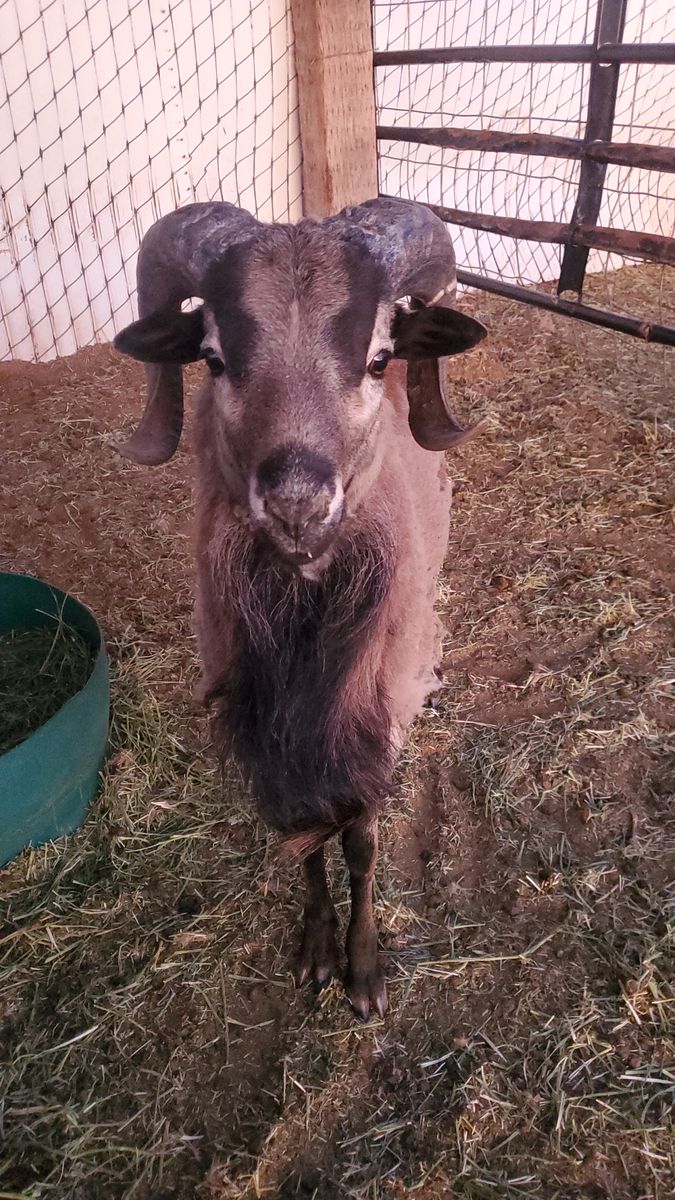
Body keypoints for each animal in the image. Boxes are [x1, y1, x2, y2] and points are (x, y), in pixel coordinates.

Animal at [114, 197, 486, 1018]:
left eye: (378, 358)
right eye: (213, 358)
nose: (297, 507)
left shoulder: (373, 723)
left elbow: (361, 844)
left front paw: (365, 971)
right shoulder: (276, 736)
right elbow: (306, 840)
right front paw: (317, 955)